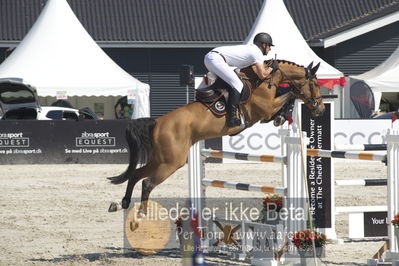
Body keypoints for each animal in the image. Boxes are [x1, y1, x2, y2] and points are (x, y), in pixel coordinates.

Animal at [108, 59, 324, 214]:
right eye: (314, 83)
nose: (320, 108)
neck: (265, 81)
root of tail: (157, 122)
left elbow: (288, 96)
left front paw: (282, 116)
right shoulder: (266, 109)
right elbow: (290, 95)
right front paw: (283, 114)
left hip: (160, 159)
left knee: (136, 175)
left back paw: (122, 203)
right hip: (171, 162)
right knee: (147, 183)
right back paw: (143, 214)